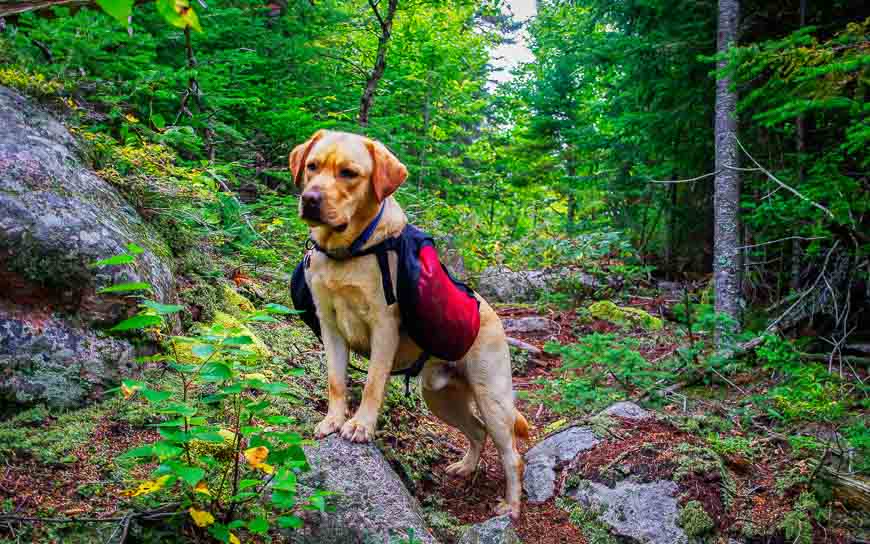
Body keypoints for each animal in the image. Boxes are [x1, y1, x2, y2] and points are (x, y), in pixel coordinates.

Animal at [290, 129, 528, 520]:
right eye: (312, 167)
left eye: (349, 173)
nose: (310, 200)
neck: (348, 252)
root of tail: (492, 316)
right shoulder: (330, 327)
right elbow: (336, 382)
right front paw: (333, 420)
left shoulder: (383, 328)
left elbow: (372, 384)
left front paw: (360, 425)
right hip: (440, 397)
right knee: (476, 432)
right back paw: (466, 467)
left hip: (492, 400)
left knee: (512, 456)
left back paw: (510, 506)